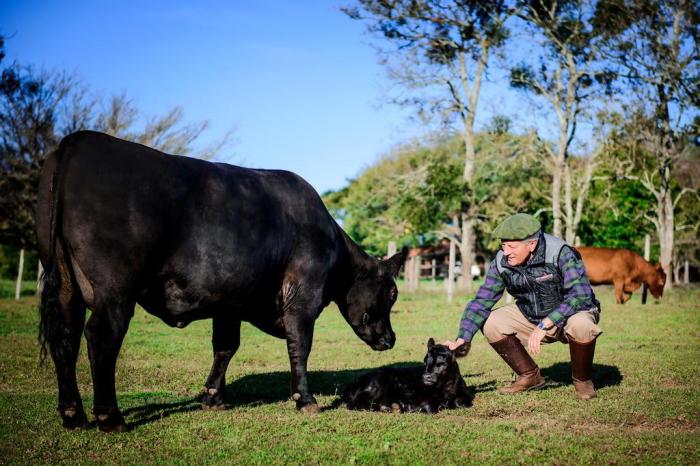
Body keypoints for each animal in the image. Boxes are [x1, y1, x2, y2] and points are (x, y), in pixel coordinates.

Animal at [37, 129, 410, 432]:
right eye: (392, 292)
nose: (391, 339)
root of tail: (78, 140)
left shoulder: (228, 301)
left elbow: (226, 346)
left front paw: (213, 398)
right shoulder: (303, 296)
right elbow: (300, 346)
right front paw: (305, 400)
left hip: (66, 282)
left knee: (65, 337)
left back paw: (72, 415)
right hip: (115, 287)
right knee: (101, 337)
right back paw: (110, 417)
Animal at [344, 336, 474, 414]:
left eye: (442, 363)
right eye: (425, 361)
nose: (426, 377)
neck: (446, 389)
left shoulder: (464, 394)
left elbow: (462, 402)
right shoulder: (413, 394)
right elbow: (430, 406)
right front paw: (413, 407)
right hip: (377, 385)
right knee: (354, 403)